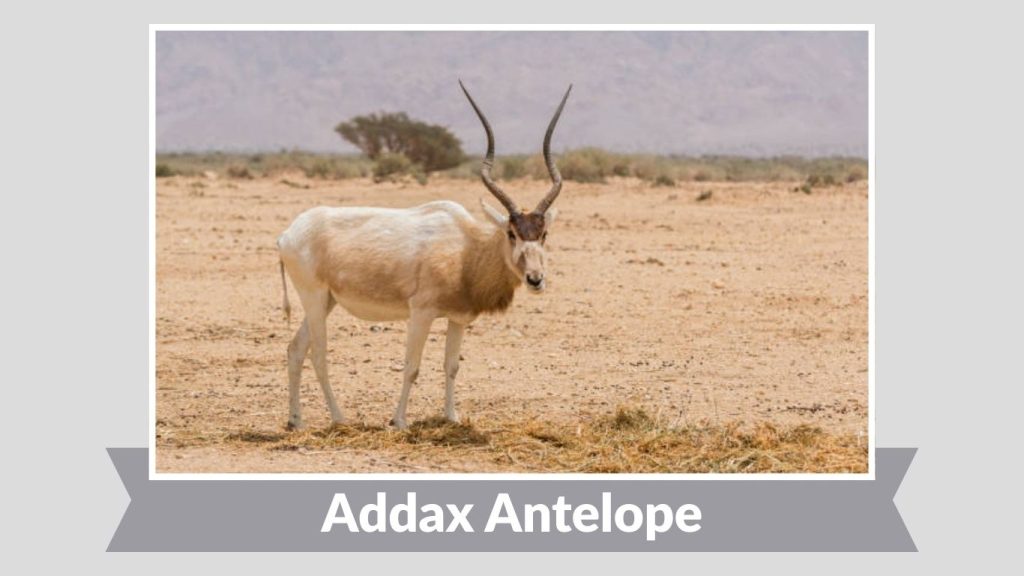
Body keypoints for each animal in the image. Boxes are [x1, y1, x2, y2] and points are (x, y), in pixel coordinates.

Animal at [277, 81, 572, 430]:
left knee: (295, 349)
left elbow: (451, 366)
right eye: (511, 233)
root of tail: (287, 235)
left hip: (327, 302)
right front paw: (400, 421)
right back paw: (339, 419)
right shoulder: (421, 312)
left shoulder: (458, 319)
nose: (535, 279)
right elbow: (411, 367)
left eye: (544, 234)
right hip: (314, 297)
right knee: (318, 356)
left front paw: (452, 417)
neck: (467, 248)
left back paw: (296, 421)